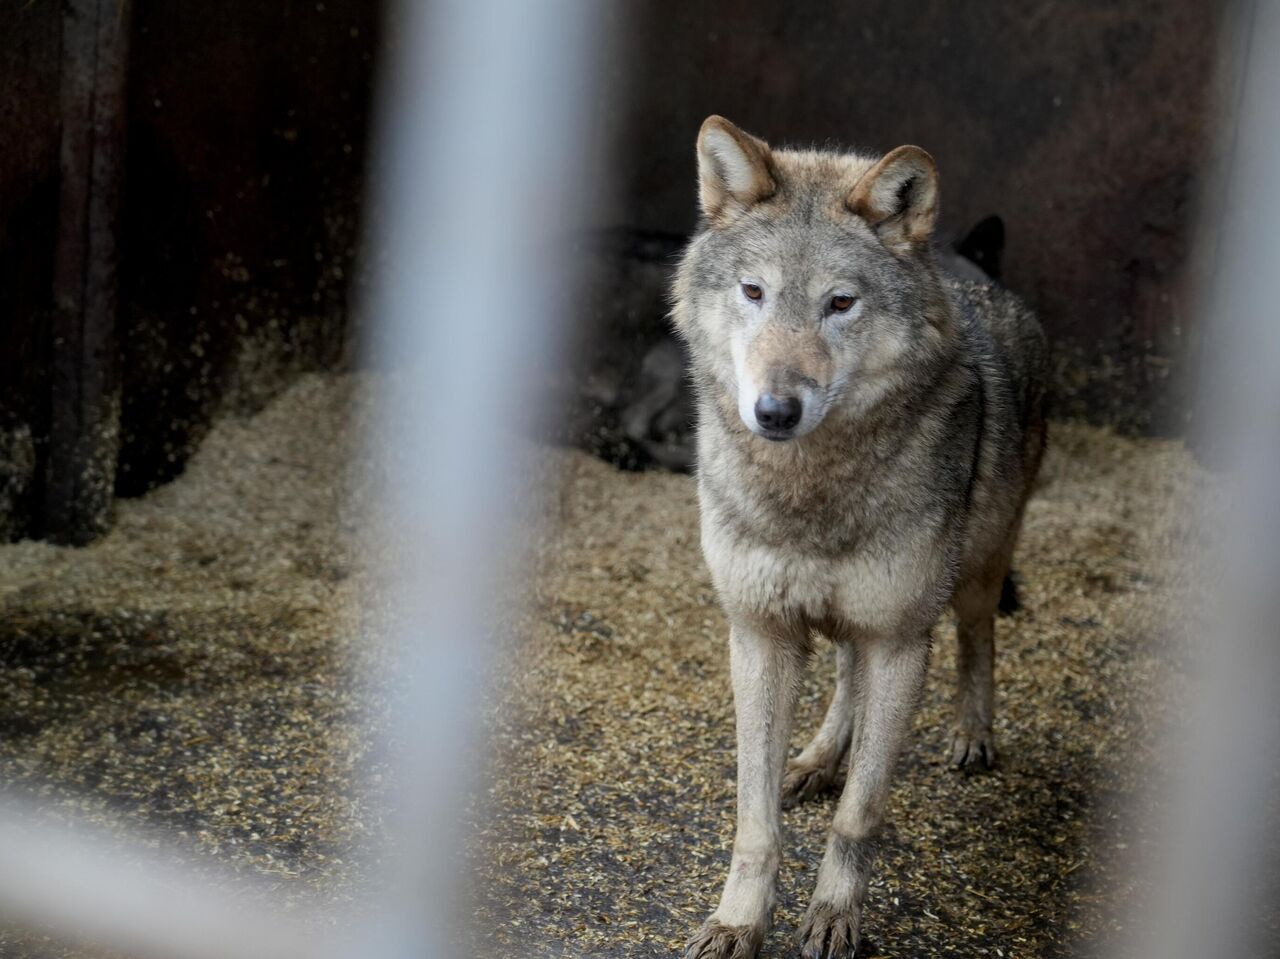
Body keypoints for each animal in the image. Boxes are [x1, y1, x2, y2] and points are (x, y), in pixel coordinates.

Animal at [675, 119, 1044, 957]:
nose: (774, 409)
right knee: (846, 672)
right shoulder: (759, 634)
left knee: (977, 634)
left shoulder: (902, 640)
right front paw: (738, 921)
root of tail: (987, 285)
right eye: (754, 292)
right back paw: (817, 758)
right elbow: (754, 823)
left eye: (840, 303)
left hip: (975, 570)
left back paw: (973, 734)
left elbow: (859, 815)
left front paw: (835, 915)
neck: (810, 495)